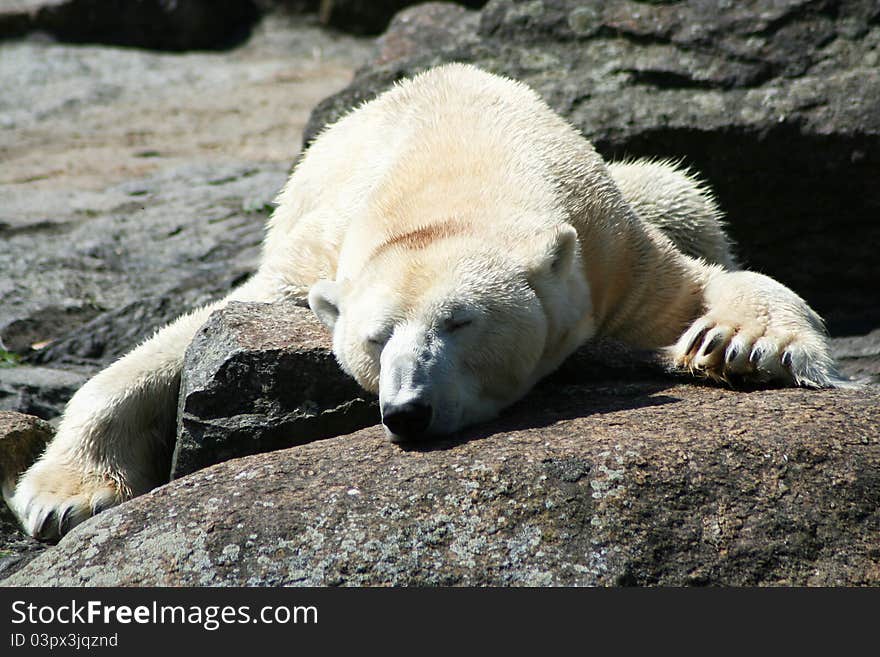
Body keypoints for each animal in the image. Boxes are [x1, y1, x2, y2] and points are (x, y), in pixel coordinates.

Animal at [6, 64, 844, 540]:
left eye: (460, 321)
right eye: (375, 339)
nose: (409, 411)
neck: (453, 163)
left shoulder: (608, 245)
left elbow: (694, 286)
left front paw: (739, 344)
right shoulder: (314, 257)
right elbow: (176, 340)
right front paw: (62, 497)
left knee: (679, 187)